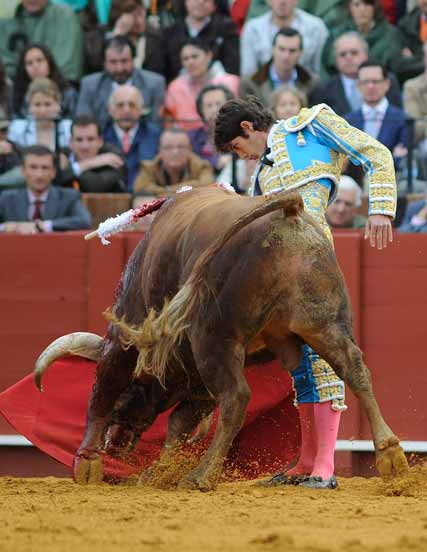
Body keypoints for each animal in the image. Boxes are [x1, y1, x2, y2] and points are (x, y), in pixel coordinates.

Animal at [32, 187, 408, 492]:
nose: (115, 445)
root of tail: (289, 211)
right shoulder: (197, 382)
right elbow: (179, 425)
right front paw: (156, 472)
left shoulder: (127, 339)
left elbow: (105, 391)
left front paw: (87, 463)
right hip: (325, 324)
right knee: (355, 370)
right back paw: (391, 456)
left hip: (215, 338)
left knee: (237, 397)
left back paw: (200, 476)